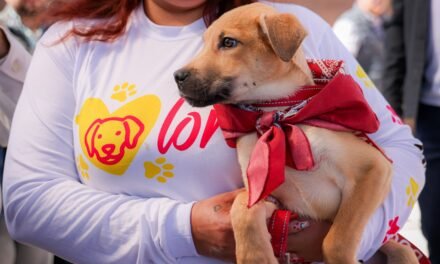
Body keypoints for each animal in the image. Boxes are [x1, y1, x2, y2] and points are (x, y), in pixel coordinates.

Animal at [174, 2, 418, 264]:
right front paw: (256, 256)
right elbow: (242, 209)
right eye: (204, 43)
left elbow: (336, 240)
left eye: (228, 42)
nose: (178, 76)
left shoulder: (373, 169)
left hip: (399, 248)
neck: (276, 115)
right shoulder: (266, 194)